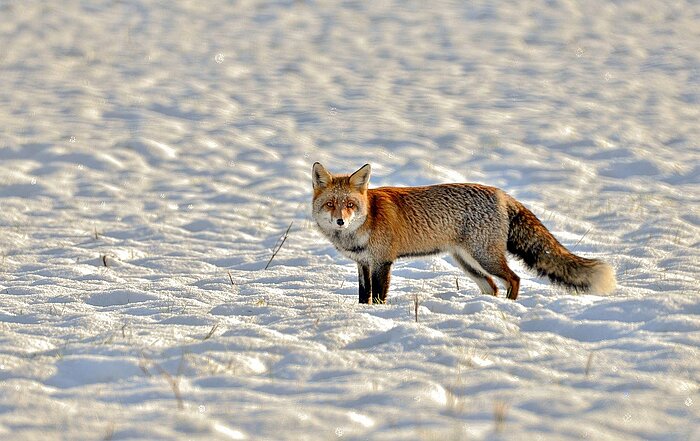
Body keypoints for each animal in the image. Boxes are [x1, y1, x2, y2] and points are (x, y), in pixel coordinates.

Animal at [308, 162, 616, 302]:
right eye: (331, 204)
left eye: (350, 205)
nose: (340, 221)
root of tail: (502, 194)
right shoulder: (363, 264)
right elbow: (364, 296)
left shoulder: (382, 262)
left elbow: (378, 296)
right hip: (466, 262)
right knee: (492, 285)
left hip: (484, 257)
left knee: (513, 279)